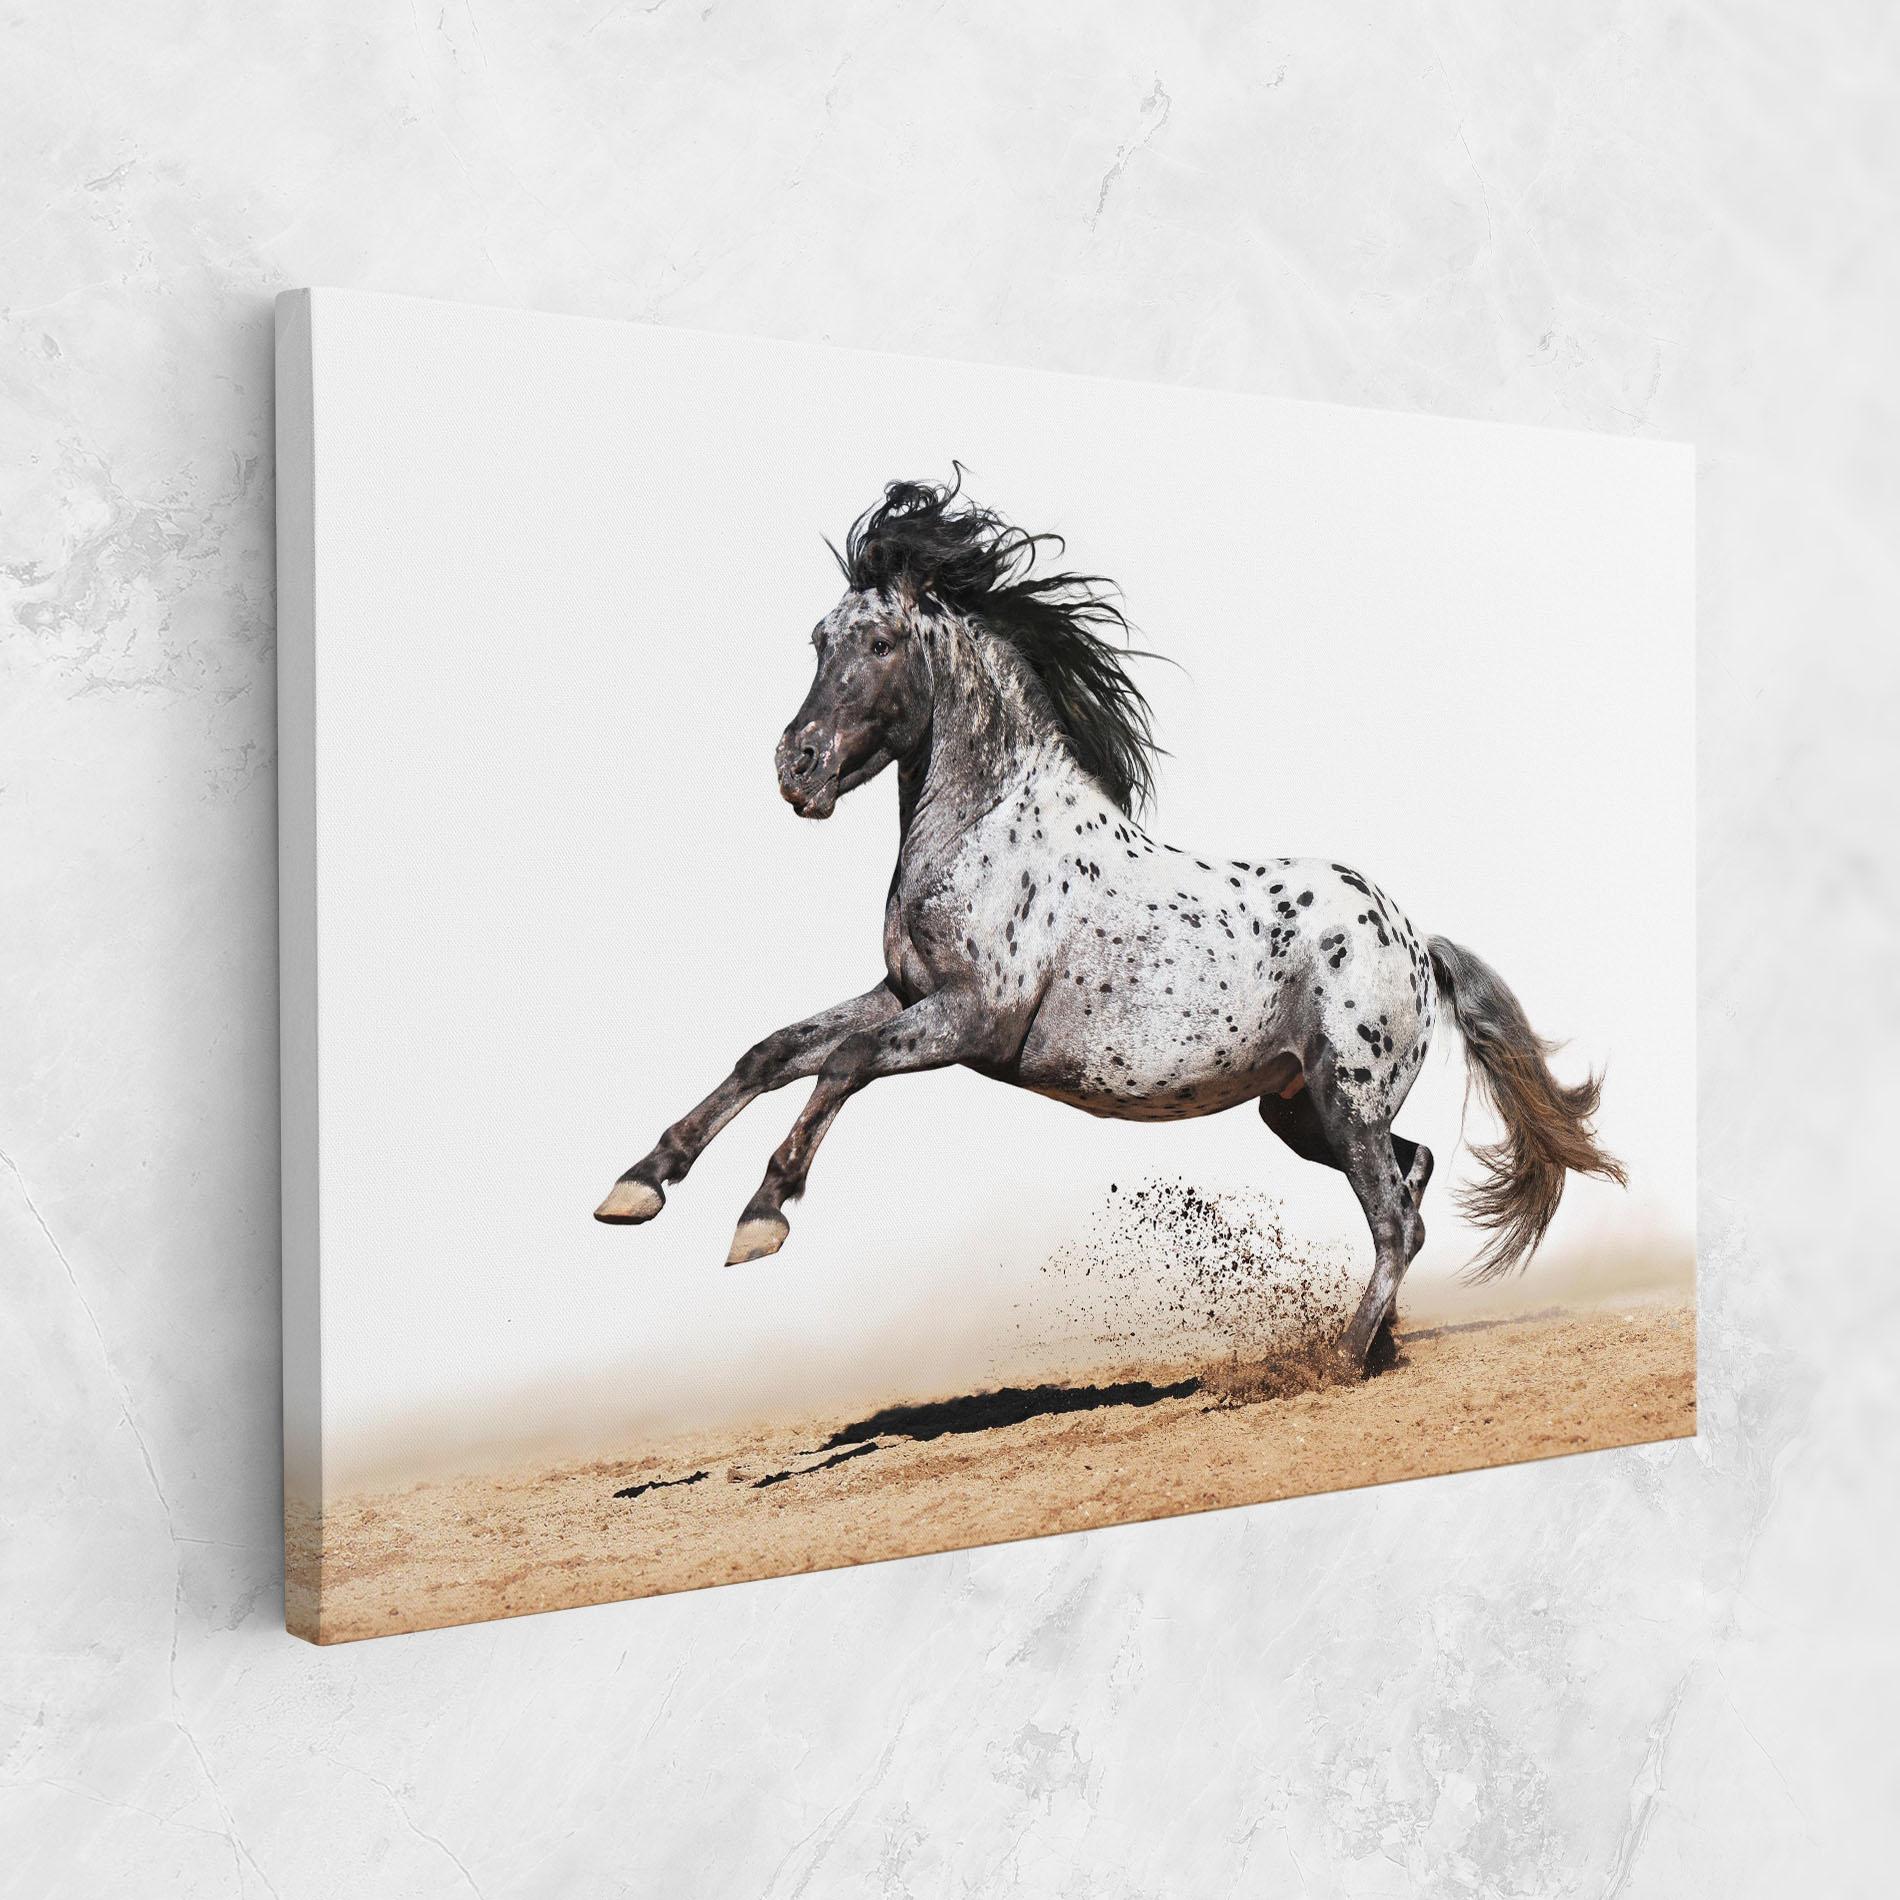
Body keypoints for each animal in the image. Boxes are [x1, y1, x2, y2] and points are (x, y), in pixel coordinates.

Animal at [595, 474, 1624, 1373]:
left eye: (882, 644)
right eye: (818, 638)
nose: (797, 766)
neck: (990, 827)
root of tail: (1415, 941)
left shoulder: (970, 1023)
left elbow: (841, 1064)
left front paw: (761, 1219)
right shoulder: (902, 993)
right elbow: (772, 1053)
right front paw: (637, 1186)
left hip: (1347, 1098)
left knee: (1397, 1218)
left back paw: (1337, 1360)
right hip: (1298, 1108)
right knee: (1413, 1175)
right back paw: (1379, 1347)